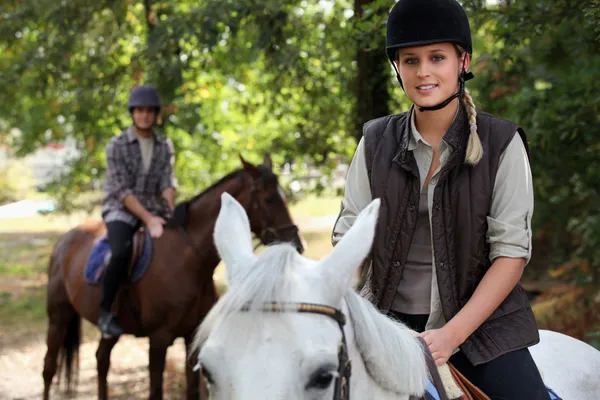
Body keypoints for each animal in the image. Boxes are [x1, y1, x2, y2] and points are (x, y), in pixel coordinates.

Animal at [42, 155, 304, 398]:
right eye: (269, 199)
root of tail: (63, 242)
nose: (296, 245)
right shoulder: (159, 339)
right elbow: (156, 391)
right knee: (49, 368)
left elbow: (193, 391)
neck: (189, 260)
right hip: (58, 317)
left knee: (101, 360)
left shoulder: (191, 338)